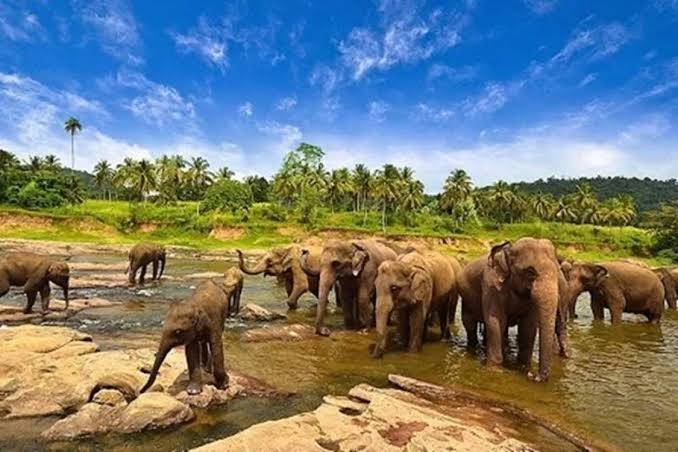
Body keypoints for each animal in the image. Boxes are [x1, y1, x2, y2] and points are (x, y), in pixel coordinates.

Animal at [483, 238, 569, 382]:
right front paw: (494, 370)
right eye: (530, 272)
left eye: (557, 273)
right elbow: (495, 321)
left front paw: (523, 367)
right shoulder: (492, 285)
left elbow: (528, 326)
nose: (533, 376)